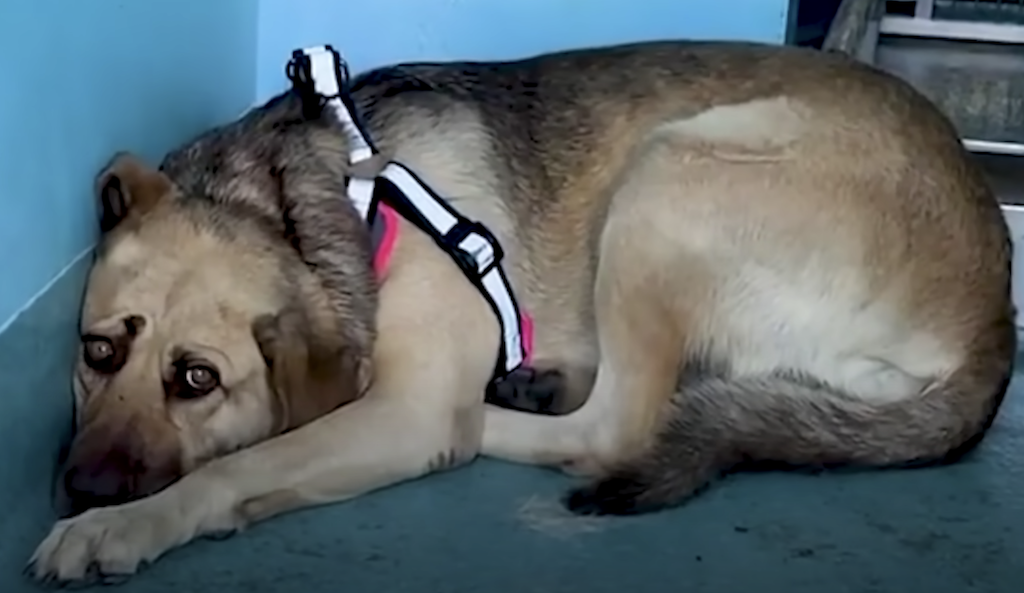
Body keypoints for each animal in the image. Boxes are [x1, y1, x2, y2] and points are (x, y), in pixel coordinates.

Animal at [25, 40, 1015, 585]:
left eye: (197, 379)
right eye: (96, 352)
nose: (87, 487)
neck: (308, 201)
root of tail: (995, 319)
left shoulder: (404, 406)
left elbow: (239, 465)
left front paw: (121, 525)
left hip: (669, 174)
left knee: (615, 428)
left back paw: (504, 409)